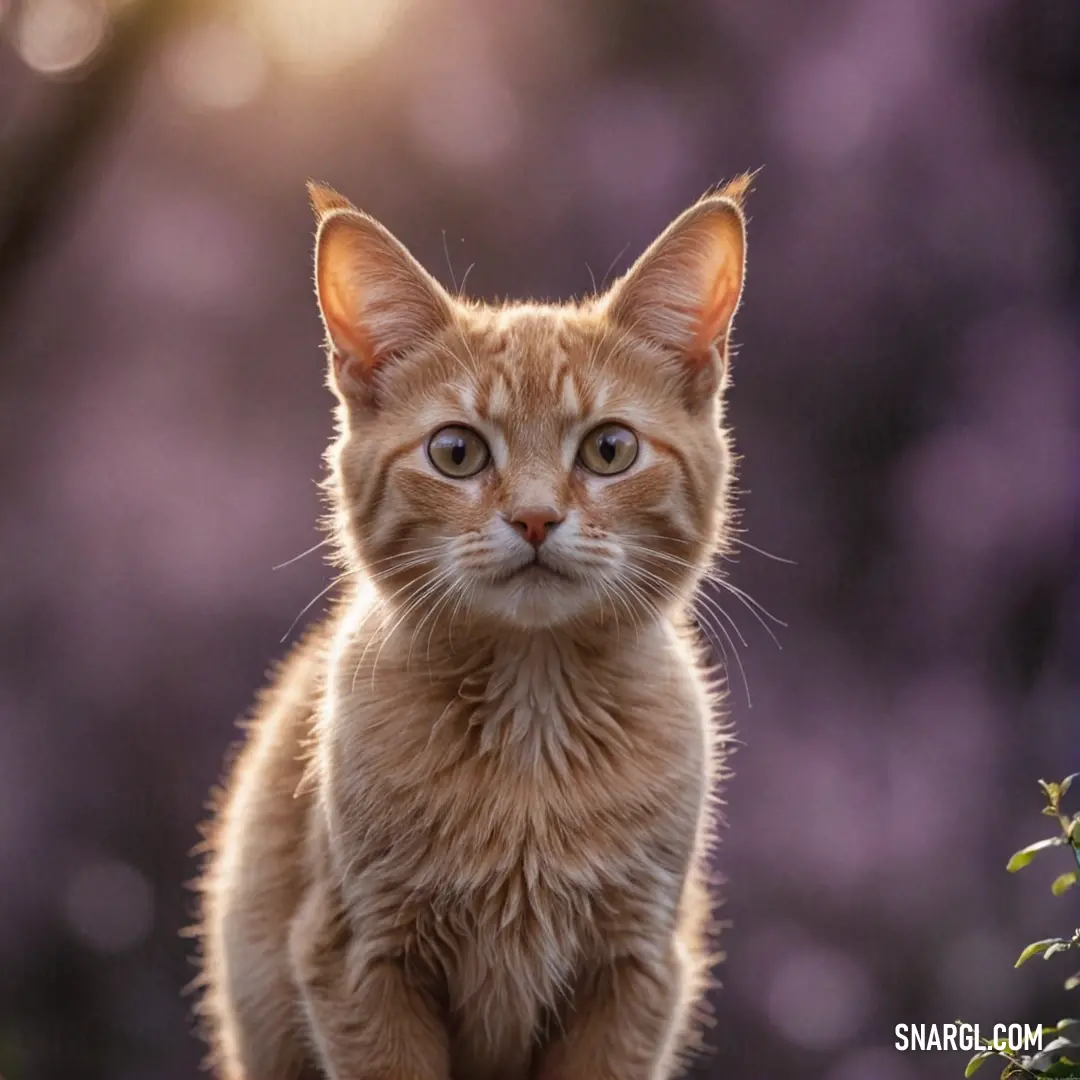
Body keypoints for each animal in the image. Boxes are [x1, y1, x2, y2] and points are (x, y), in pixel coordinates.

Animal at [196, 177, 751, 1080]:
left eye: (609, 450)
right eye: (456, 452)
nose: (535, 517)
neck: (530, 735)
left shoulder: (635, 971)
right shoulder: (358, 962)